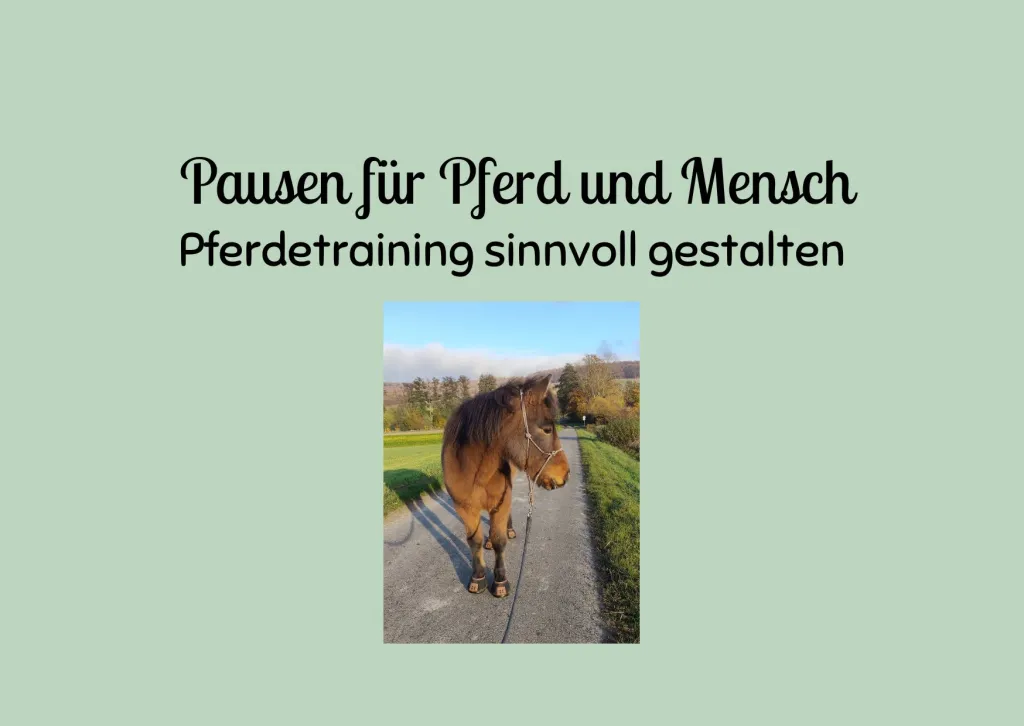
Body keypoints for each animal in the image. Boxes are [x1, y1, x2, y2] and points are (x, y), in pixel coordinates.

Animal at [442, 374, 571, 597]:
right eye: (546, 429)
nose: (565, 474)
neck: (475, 471)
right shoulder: (464, 508)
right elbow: (474, 541)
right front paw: (478, 577)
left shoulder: (502, 501)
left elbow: (499, 540)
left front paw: (500, 581)